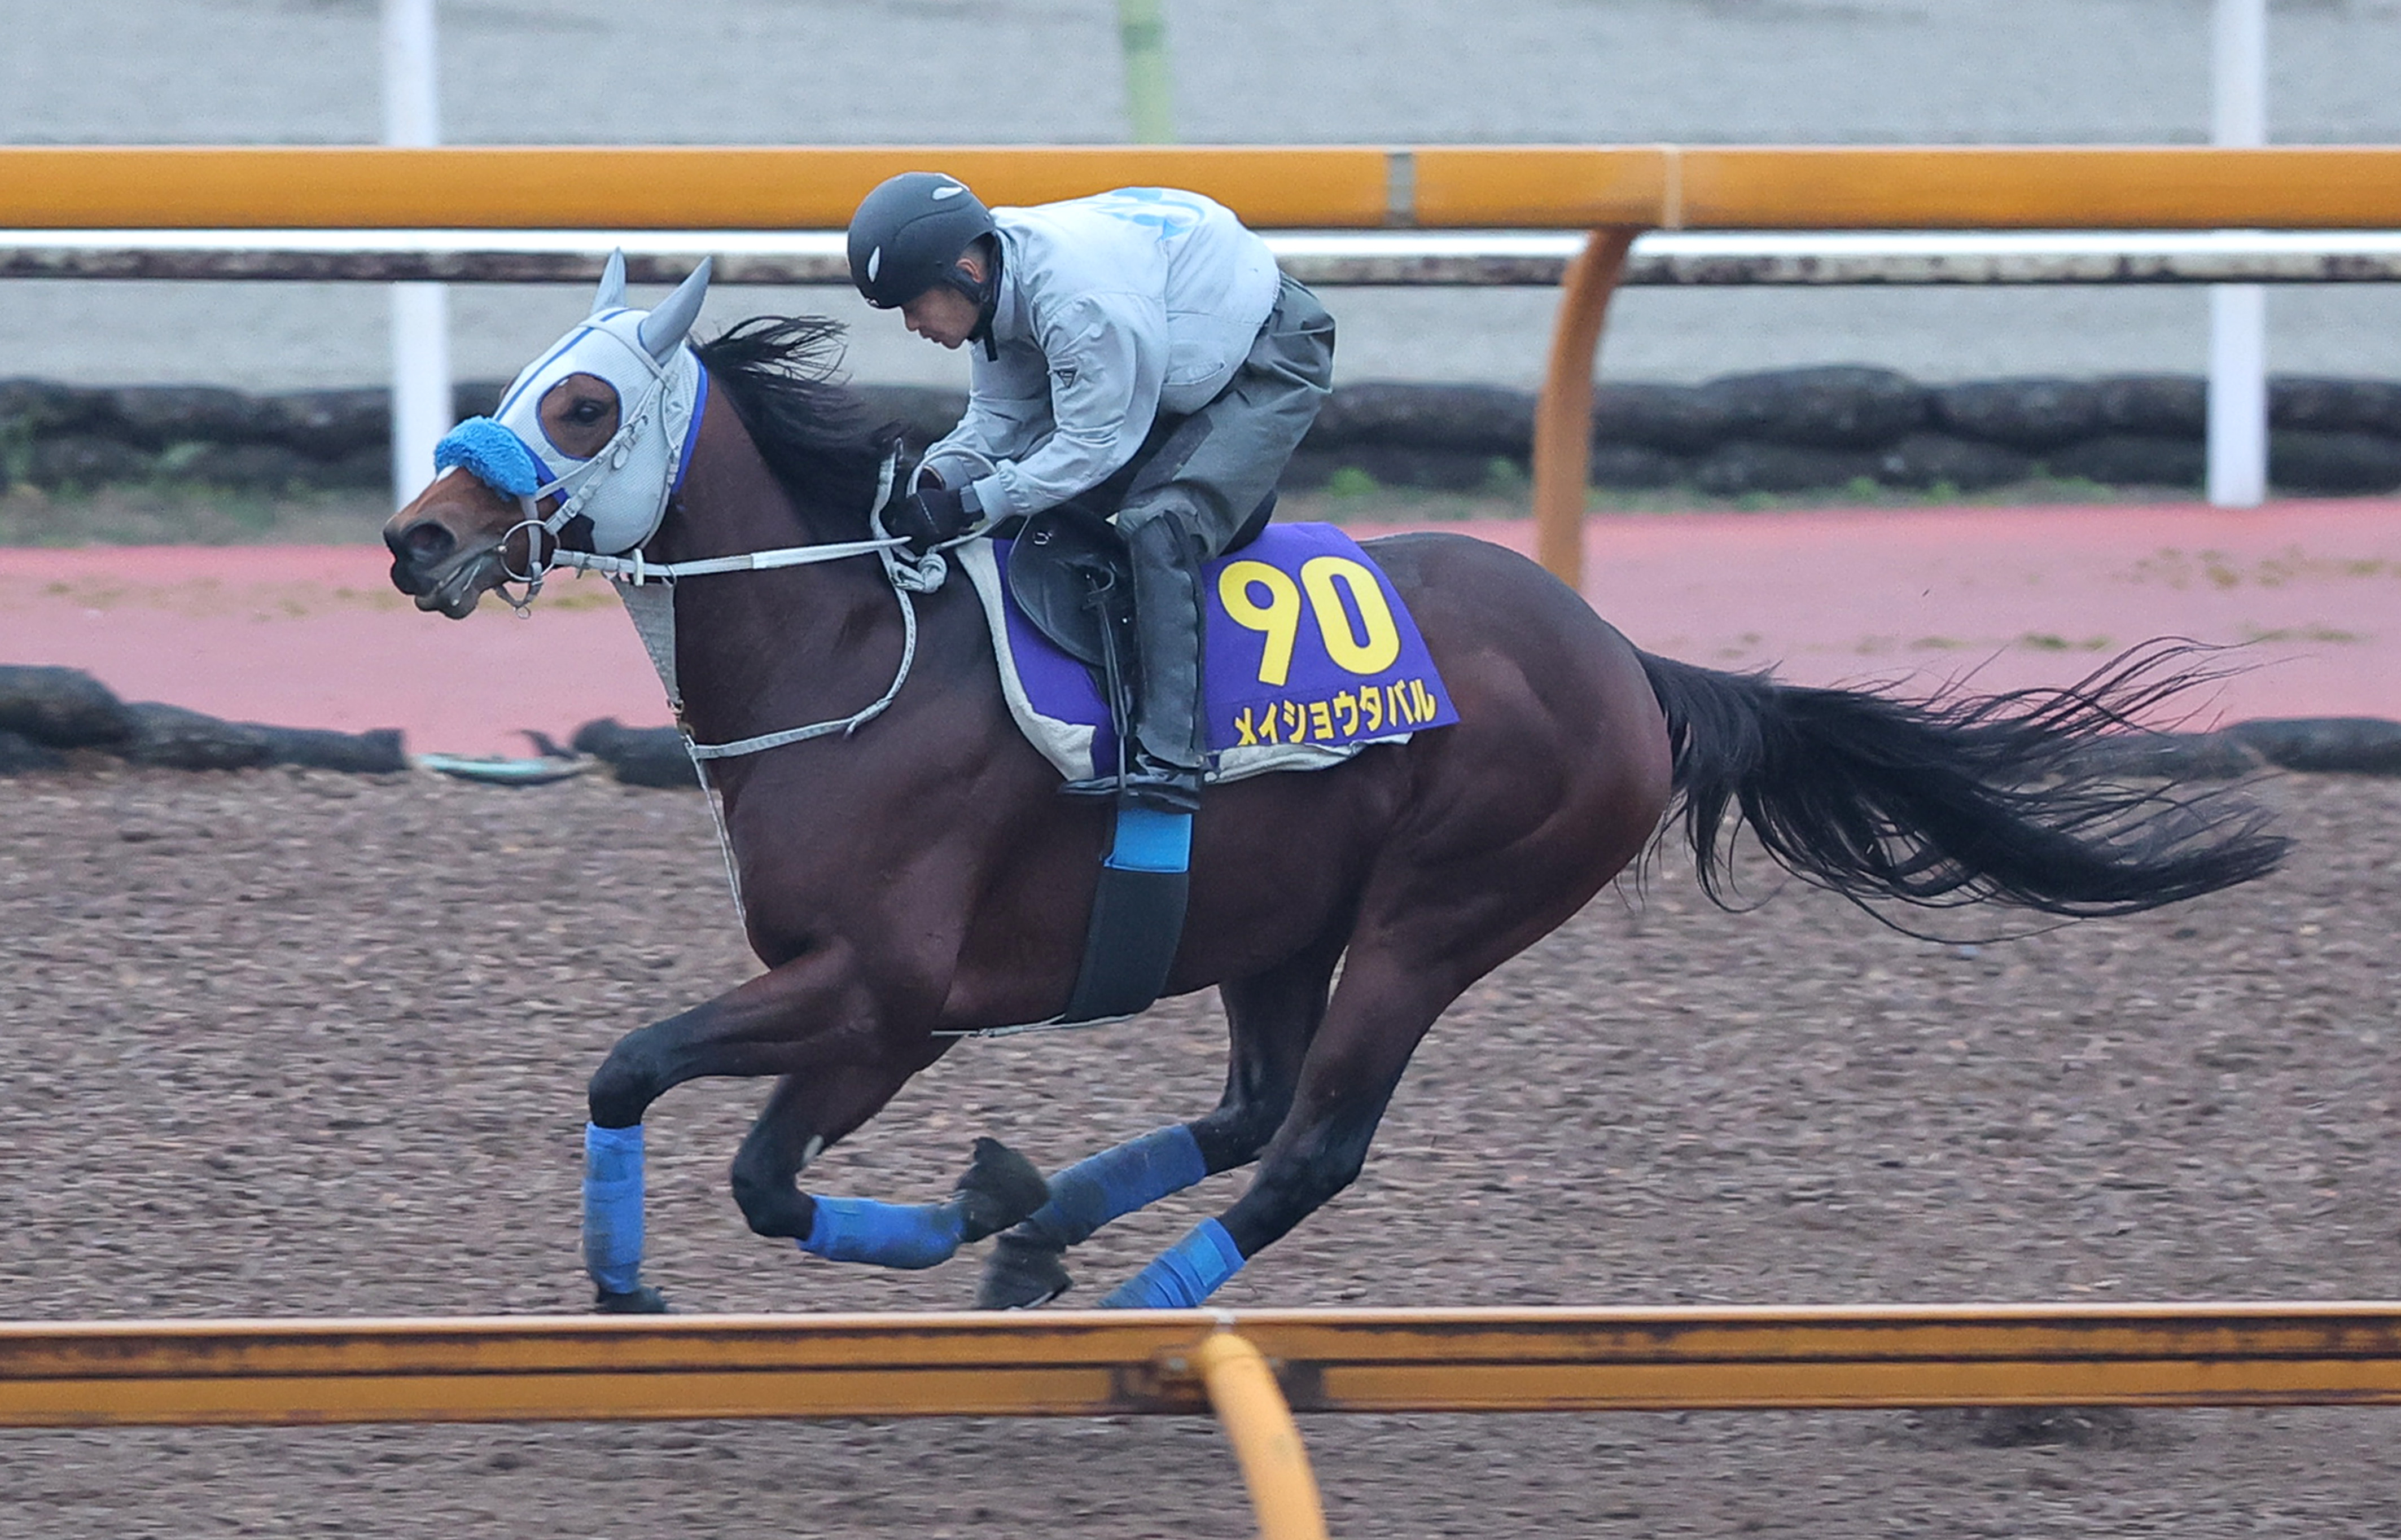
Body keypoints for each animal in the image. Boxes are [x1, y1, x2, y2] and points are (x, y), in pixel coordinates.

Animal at [383, 263, 2285, 1314]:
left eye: (579, 405)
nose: (418, 540)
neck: (853, 648)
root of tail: (1625, 662)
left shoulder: (889, 998)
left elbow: (729, 1146)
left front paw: (876, 1222)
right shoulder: (844, 992)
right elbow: (659, 1098)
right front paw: (678, 1267)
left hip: (1442, 912)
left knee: (1311, 1146)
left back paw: (1130, 1295)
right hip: (1274, 915)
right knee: (1248, 1110)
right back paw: (1047, 1236)